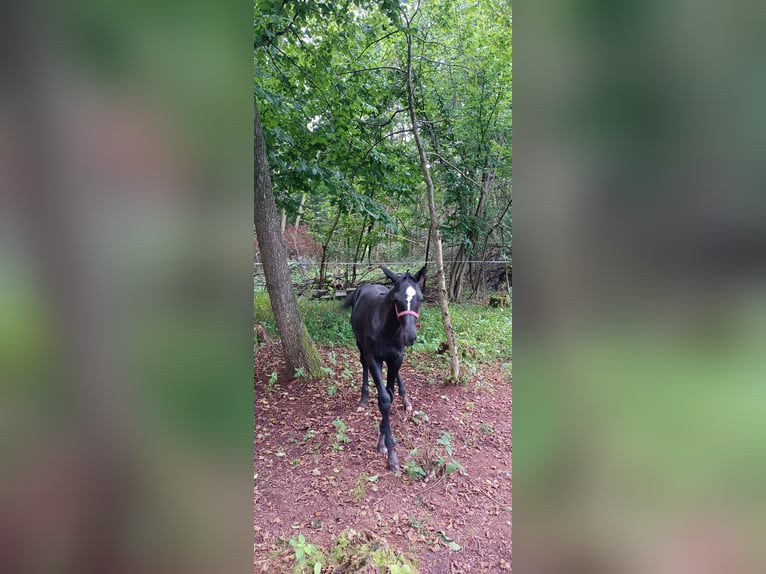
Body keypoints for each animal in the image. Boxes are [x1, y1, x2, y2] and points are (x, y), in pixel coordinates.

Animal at [342, 266, 426, 472]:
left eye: (420, 298)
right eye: (396, 299)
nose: (409, 336)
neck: (388, 328)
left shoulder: (396, 358)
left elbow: (390, 393)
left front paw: (382, 442)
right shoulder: (374, 358)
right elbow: (384, 399)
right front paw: (391, 455)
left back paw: (406, 399)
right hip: (360, 345)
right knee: (363, 364)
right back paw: (363, 399)